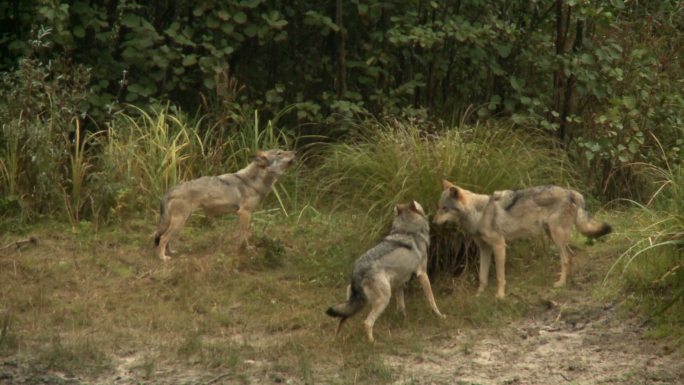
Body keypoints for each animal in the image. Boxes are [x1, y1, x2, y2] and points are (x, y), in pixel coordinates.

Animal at [154, 148, 296, 260]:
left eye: (283, 150)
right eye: (279, 153)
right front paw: (249, 248)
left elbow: (242, 233)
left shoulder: (241, 214)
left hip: (181, 221)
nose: (295, 152)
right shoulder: (245, 212)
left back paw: (171, 252)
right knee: (163, 238)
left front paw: (240, 248)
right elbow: (247, 233)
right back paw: (163, 258)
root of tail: (170, 190)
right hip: (180, 221)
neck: (252, 182)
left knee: (166, 238)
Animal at [328, 201, 446, 342]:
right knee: (367, 323)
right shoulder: (422, 274)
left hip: (356, 304)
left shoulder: (400, 283)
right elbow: (432, 300)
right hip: (383, 299)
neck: (406, 231)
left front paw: (404, 320)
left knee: (340, 320)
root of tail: (357, 271)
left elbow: (401, 306)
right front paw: (440, 315)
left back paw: (335, 340)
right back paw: (373, 343)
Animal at [436, 178, 612, 298]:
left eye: (445, 208)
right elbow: (482, 277)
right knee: (571, 255)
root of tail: (571, 192)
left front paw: (500, 296)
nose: (433, 222)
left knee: (566, 258)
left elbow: (500, 276)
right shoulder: (484, 249)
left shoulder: (499, 246)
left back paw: (561, 284)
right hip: (553, 235)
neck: (479, 213)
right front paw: (479, 295)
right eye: (439, 207)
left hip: (556, 236)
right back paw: (569, 280)